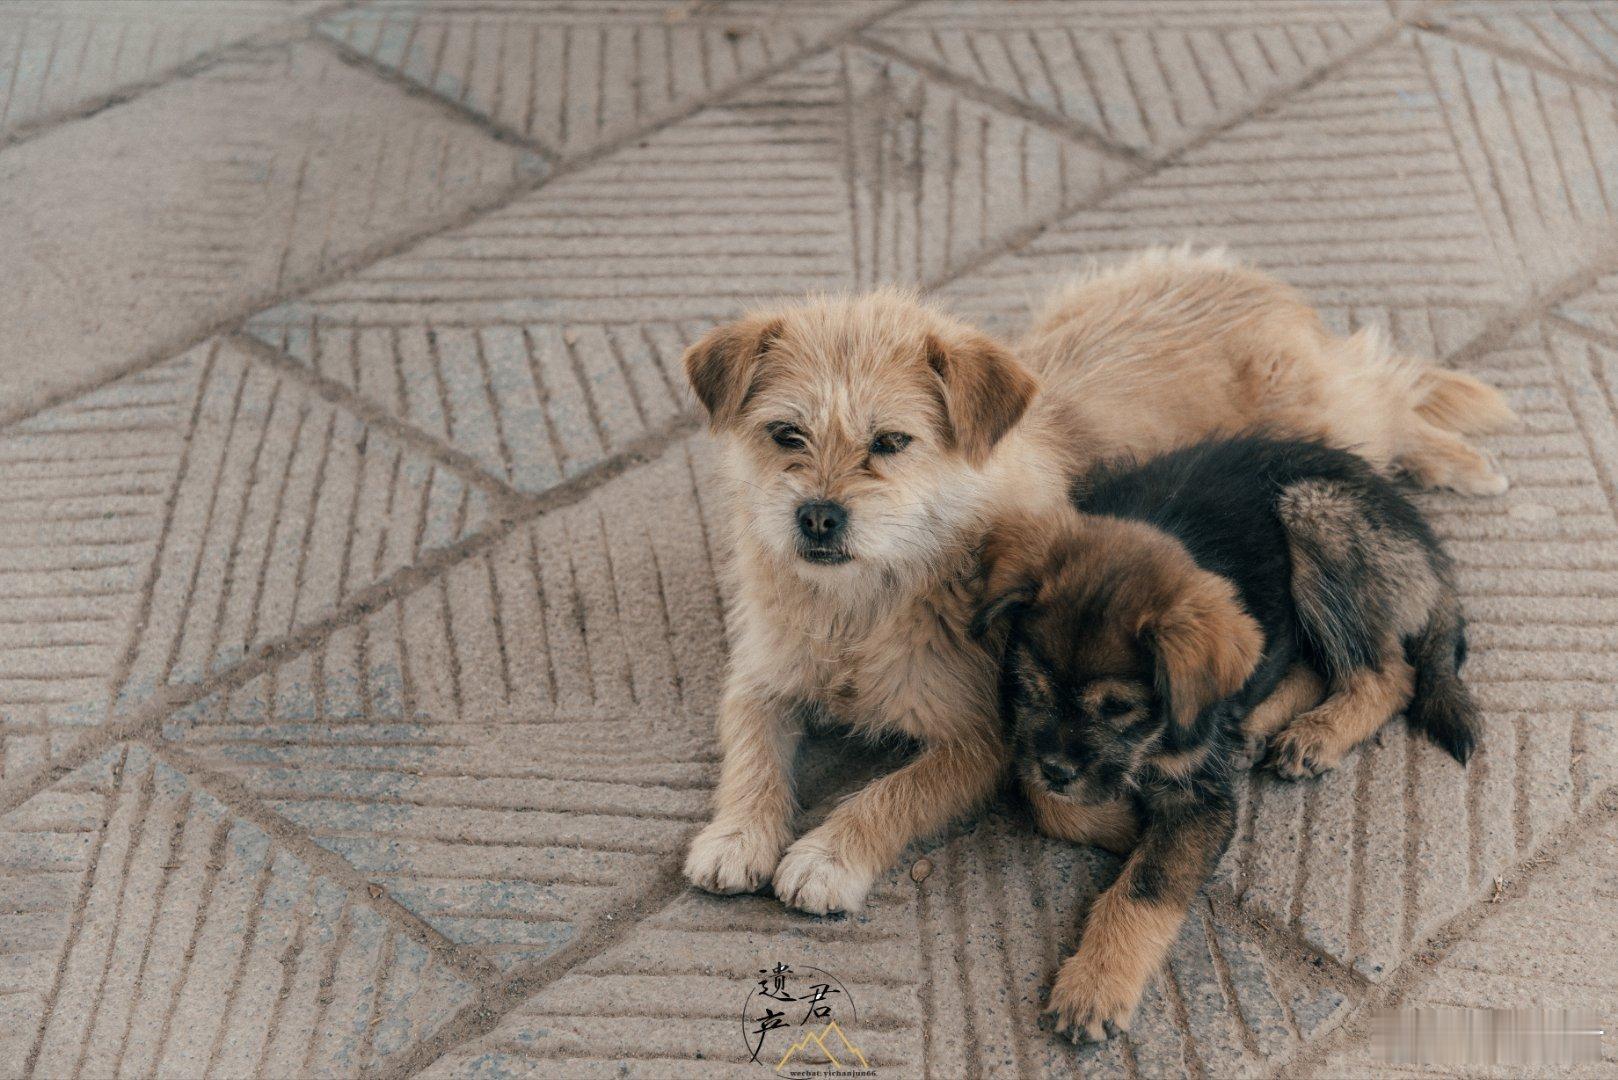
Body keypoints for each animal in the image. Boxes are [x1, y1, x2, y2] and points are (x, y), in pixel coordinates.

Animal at [676, 249, 1507, 919]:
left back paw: (1459, 461)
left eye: (890, 443)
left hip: (1327, 460)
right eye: (786, 434)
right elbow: (750, 750)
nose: (817, 517)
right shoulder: (761, 677)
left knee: (1388, 403)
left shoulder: (984, 733)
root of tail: (1274, 299)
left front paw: (829, 855)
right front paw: (738, 832)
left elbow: (894, 793)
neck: (861, 603)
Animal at [970, 433, 1482, 1042]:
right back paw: (1257, 727)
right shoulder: (1030, 740)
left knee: (1388, 674)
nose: (1057, 770)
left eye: (1117, 709)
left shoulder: (1198, 799)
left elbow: (1146, 885)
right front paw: (1123, 822)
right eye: (1031, 686)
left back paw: (1317, 734)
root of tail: (1418, 530)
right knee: (1312, 663)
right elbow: (1045, 801)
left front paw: (1096, 983)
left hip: (1315, 514)